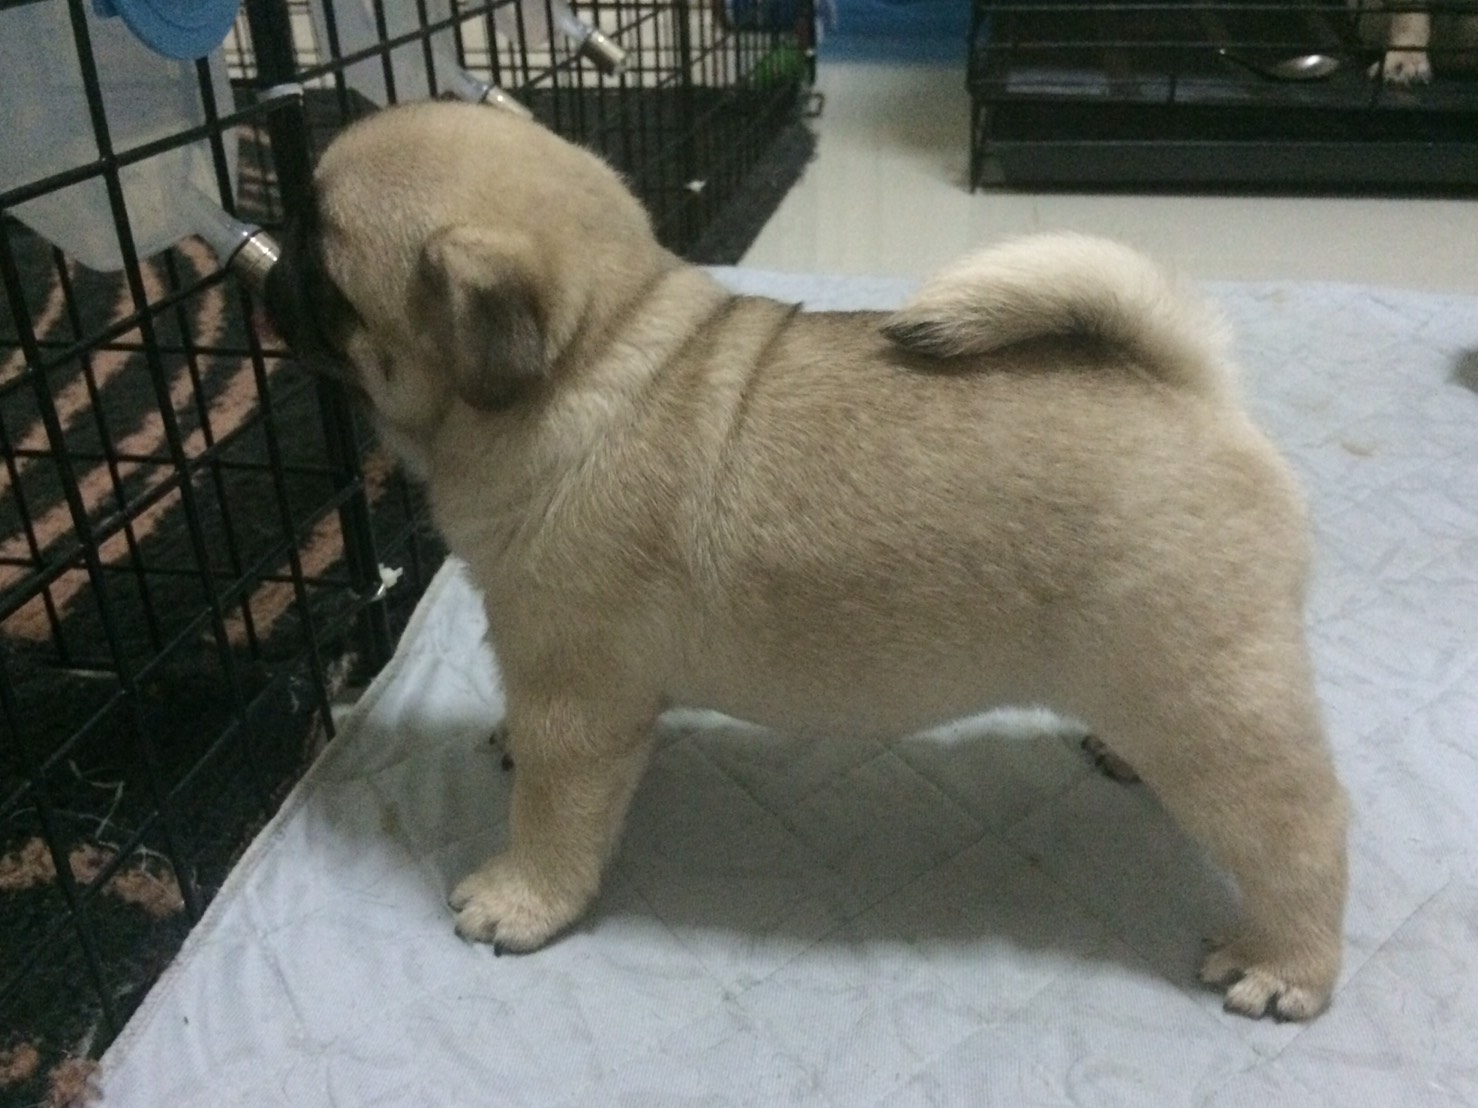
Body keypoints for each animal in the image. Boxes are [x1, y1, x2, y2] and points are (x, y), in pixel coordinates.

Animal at [264, 100, 1348, 1021]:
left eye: (323, 261)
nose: (264, 262)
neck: (595, 351)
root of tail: (1195, 395)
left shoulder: (580, 704)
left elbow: (555, 813)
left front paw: (522, 900)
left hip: (1208, 705)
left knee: (1302, 832)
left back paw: (1284, 964)